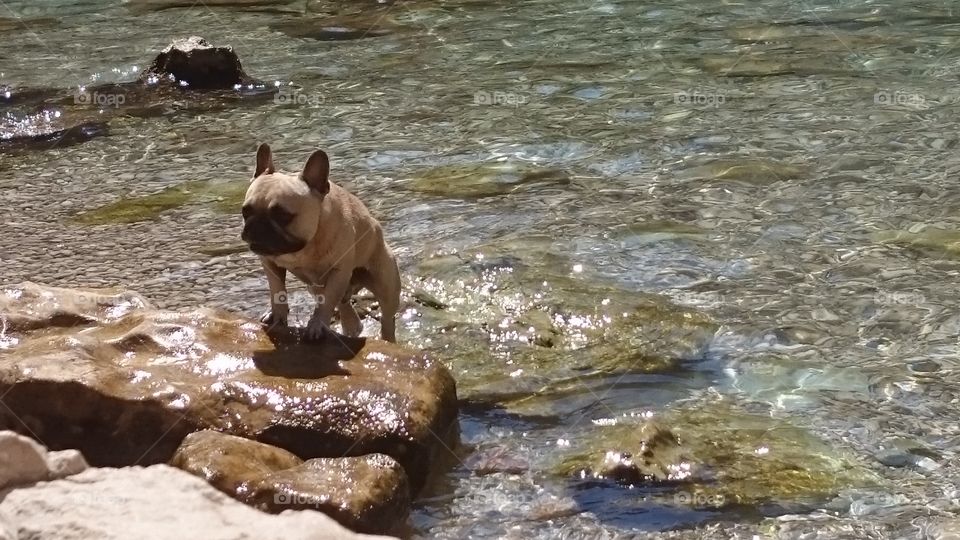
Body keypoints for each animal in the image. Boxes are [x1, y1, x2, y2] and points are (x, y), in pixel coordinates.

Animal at [244, 143, 404, 342]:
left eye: (283, 215)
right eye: (245, 211)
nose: (256, 225)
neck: (305, 248)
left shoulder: (338, 272)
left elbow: (327, 302)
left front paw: (317, 325)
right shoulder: (269, 264)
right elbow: (277, 290)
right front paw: (277, 315)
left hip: (384, 284)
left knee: (387, 318)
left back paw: (387, 339)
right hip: (317, 287)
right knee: (343, 303)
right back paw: (352, 327)